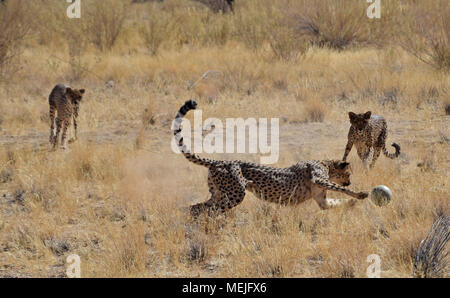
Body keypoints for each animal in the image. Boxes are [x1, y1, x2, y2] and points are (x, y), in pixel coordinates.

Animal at [173, 99, 370, 218]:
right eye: (348, 174)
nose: (350, 181)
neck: (327, 164)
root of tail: (219, 161)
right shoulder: (318, 179)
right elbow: (339, 189)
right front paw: (359, 194)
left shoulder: (322, 200)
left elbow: (334, 203)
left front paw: (352, 203)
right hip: (236, 193)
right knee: (209, 211)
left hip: (219, 193)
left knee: (196, 208)